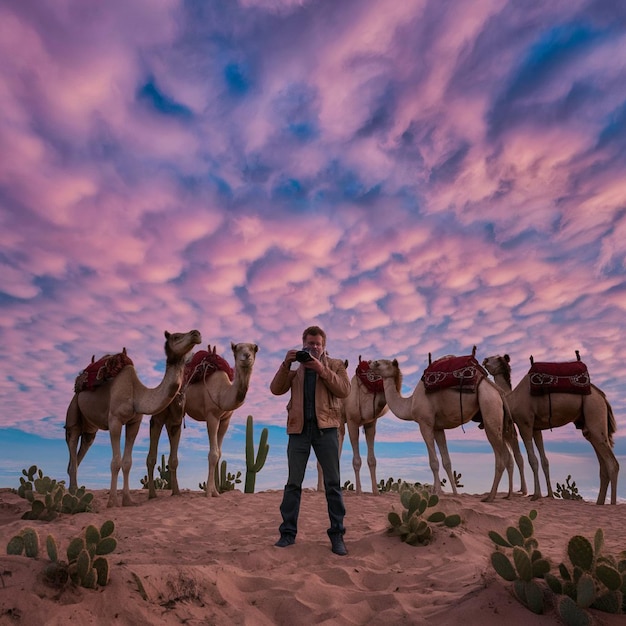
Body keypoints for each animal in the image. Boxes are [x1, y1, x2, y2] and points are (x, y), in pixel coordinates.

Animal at [64, 330, 200, 504]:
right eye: (176, 336)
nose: (196, 333)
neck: (137, 394)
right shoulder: (114, 421)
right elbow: (115, 462)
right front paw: (112, 502)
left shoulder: (134, 422)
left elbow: (127, 462)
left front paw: (127, 500)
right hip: (73, 410)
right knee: (73, 441)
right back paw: (74, 492)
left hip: (90, 428)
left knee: (83, 446)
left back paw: (75, 491)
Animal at [147, 342, 258, 498]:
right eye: (236, 348)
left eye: (255, 348)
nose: (246, 356)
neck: (223, 393)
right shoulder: (211, 416)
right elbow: (213, 454)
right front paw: (209, 493)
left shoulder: (225, 420)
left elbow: (219, 453)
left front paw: (216, 492)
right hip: (161, 408)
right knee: (155, 432)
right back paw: (152, 494)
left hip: (175, 413)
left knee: (173, 432)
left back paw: (176, 492)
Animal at [368, 356, 516, 502]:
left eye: (378, 363)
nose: (369, 363)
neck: (409, 404)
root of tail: (498, 392)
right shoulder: (438, 428)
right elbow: (447, 462)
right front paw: (455, 494)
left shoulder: (425, 423)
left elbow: (434, 461)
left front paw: (438, 492)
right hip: (498, 420)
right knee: (508, 457)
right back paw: (507, 495)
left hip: (489, 407)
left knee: (500, 459)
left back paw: (490, 497)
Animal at [480, 354, 616, 504]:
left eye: (497, 358)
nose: (485, 360)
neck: (512, 398)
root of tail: (602, 397)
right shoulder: (536, 428)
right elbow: (544, 460)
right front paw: (548, 494)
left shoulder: (525, 424)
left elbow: (532, 459)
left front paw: (535, 495)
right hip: (590, 427)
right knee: (603, 465)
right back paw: (599, 503)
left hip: (594, 412)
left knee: (612, 464)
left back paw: (612, 504)